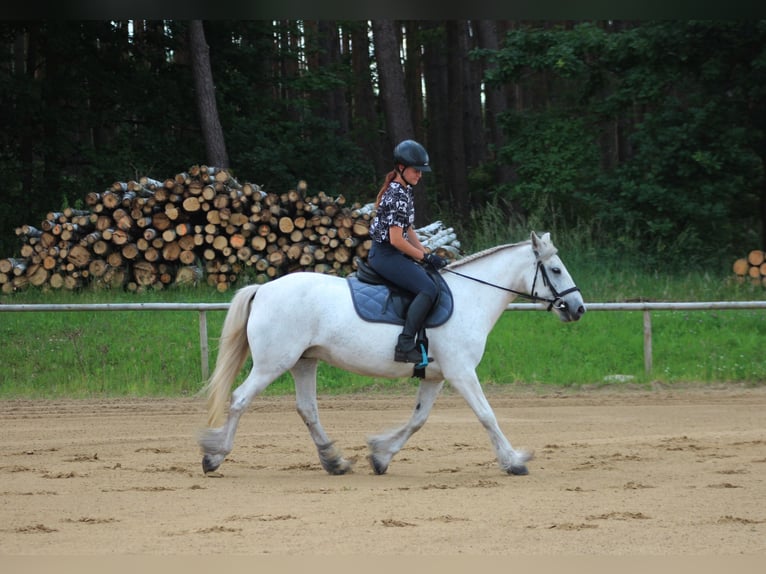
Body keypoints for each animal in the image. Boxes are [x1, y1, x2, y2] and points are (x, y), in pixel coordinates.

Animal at [198, 232, 588, 480]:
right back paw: (214, 457)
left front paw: (380, 454)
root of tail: (263, 289)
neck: (470, 298)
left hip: (304, 362)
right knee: (239, 399)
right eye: (555, 270)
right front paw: (514, 461)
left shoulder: (436, 377)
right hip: (272, 364)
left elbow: (418, 419)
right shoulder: (462, 372)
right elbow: (487, 416)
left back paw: (335, 461)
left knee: (307, 410)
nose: (578, 308)